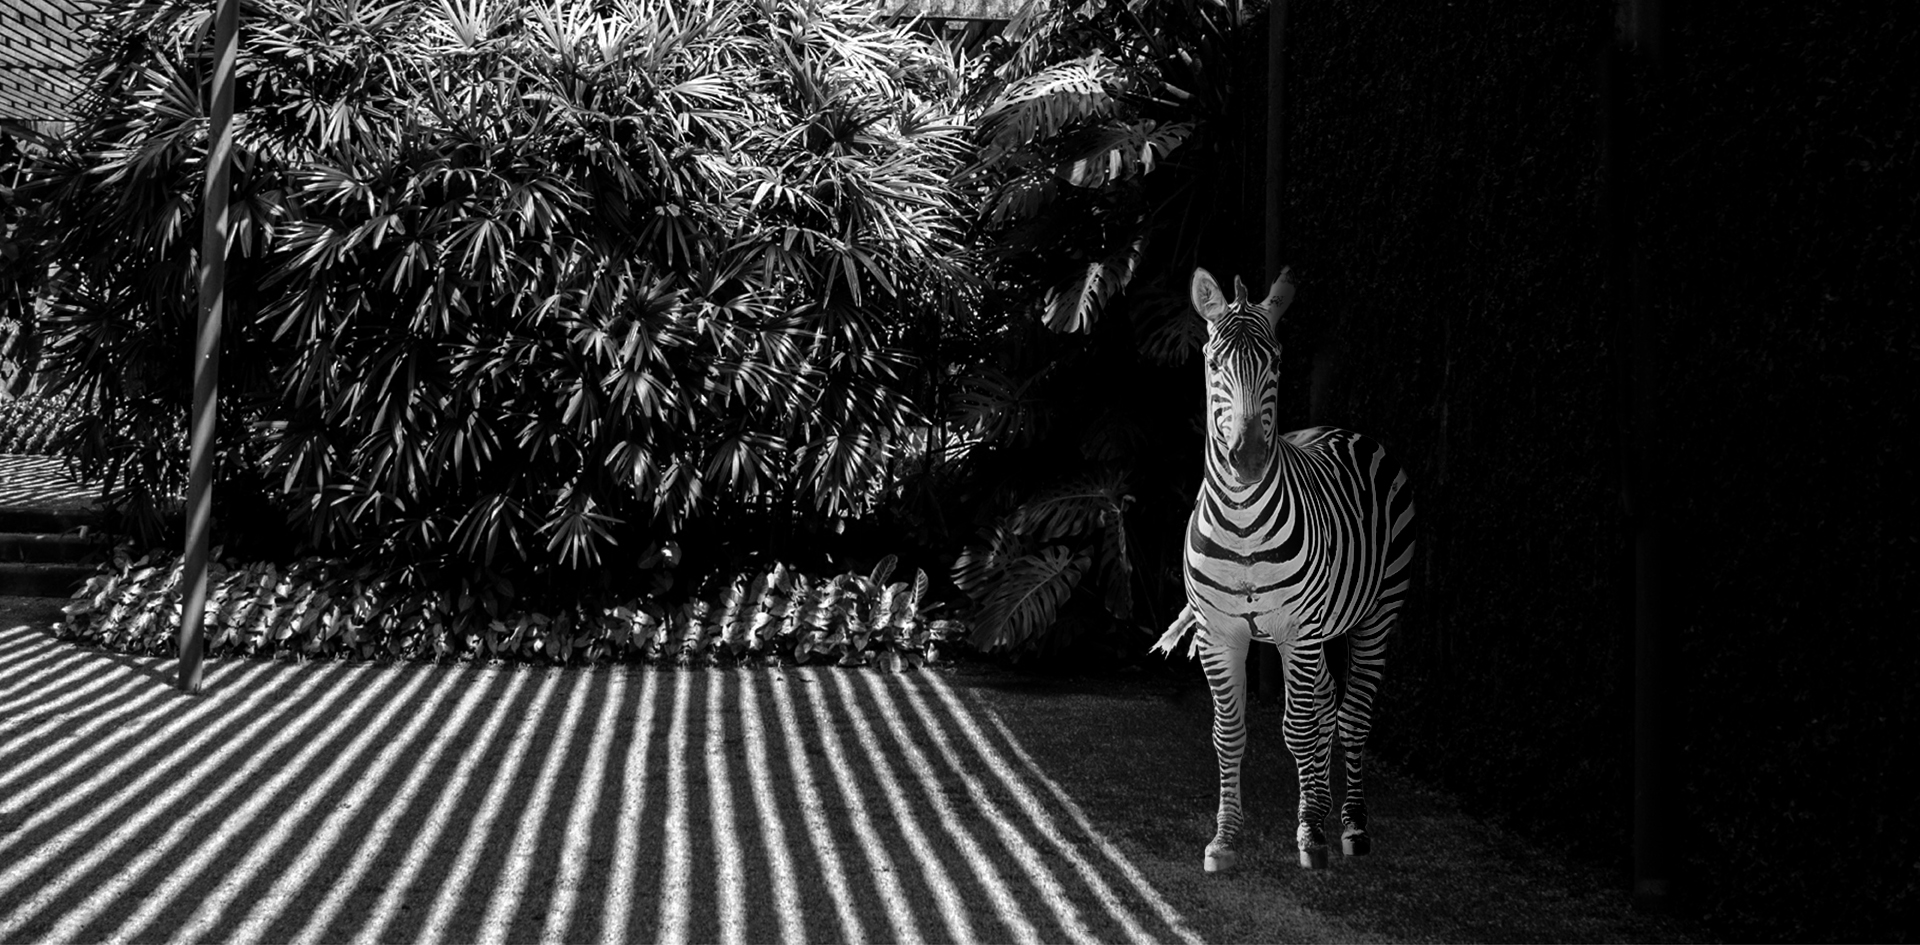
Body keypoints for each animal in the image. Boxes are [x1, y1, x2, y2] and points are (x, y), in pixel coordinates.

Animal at [1144, 265, 1420, 872]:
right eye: (1213, 363)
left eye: (1274, 363)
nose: (1247, 461)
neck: (1244, 524)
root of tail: (1340, 429)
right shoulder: (1219, 632)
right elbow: (1230, 734)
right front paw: (1226, 838)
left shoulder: (1299, 630)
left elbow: (1297, 730)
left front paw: (1311, 836)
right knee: (1327, 710)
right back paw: (1319, 807)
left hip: (1375, 616)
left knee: (1349, 717)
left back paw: (1350, 826)